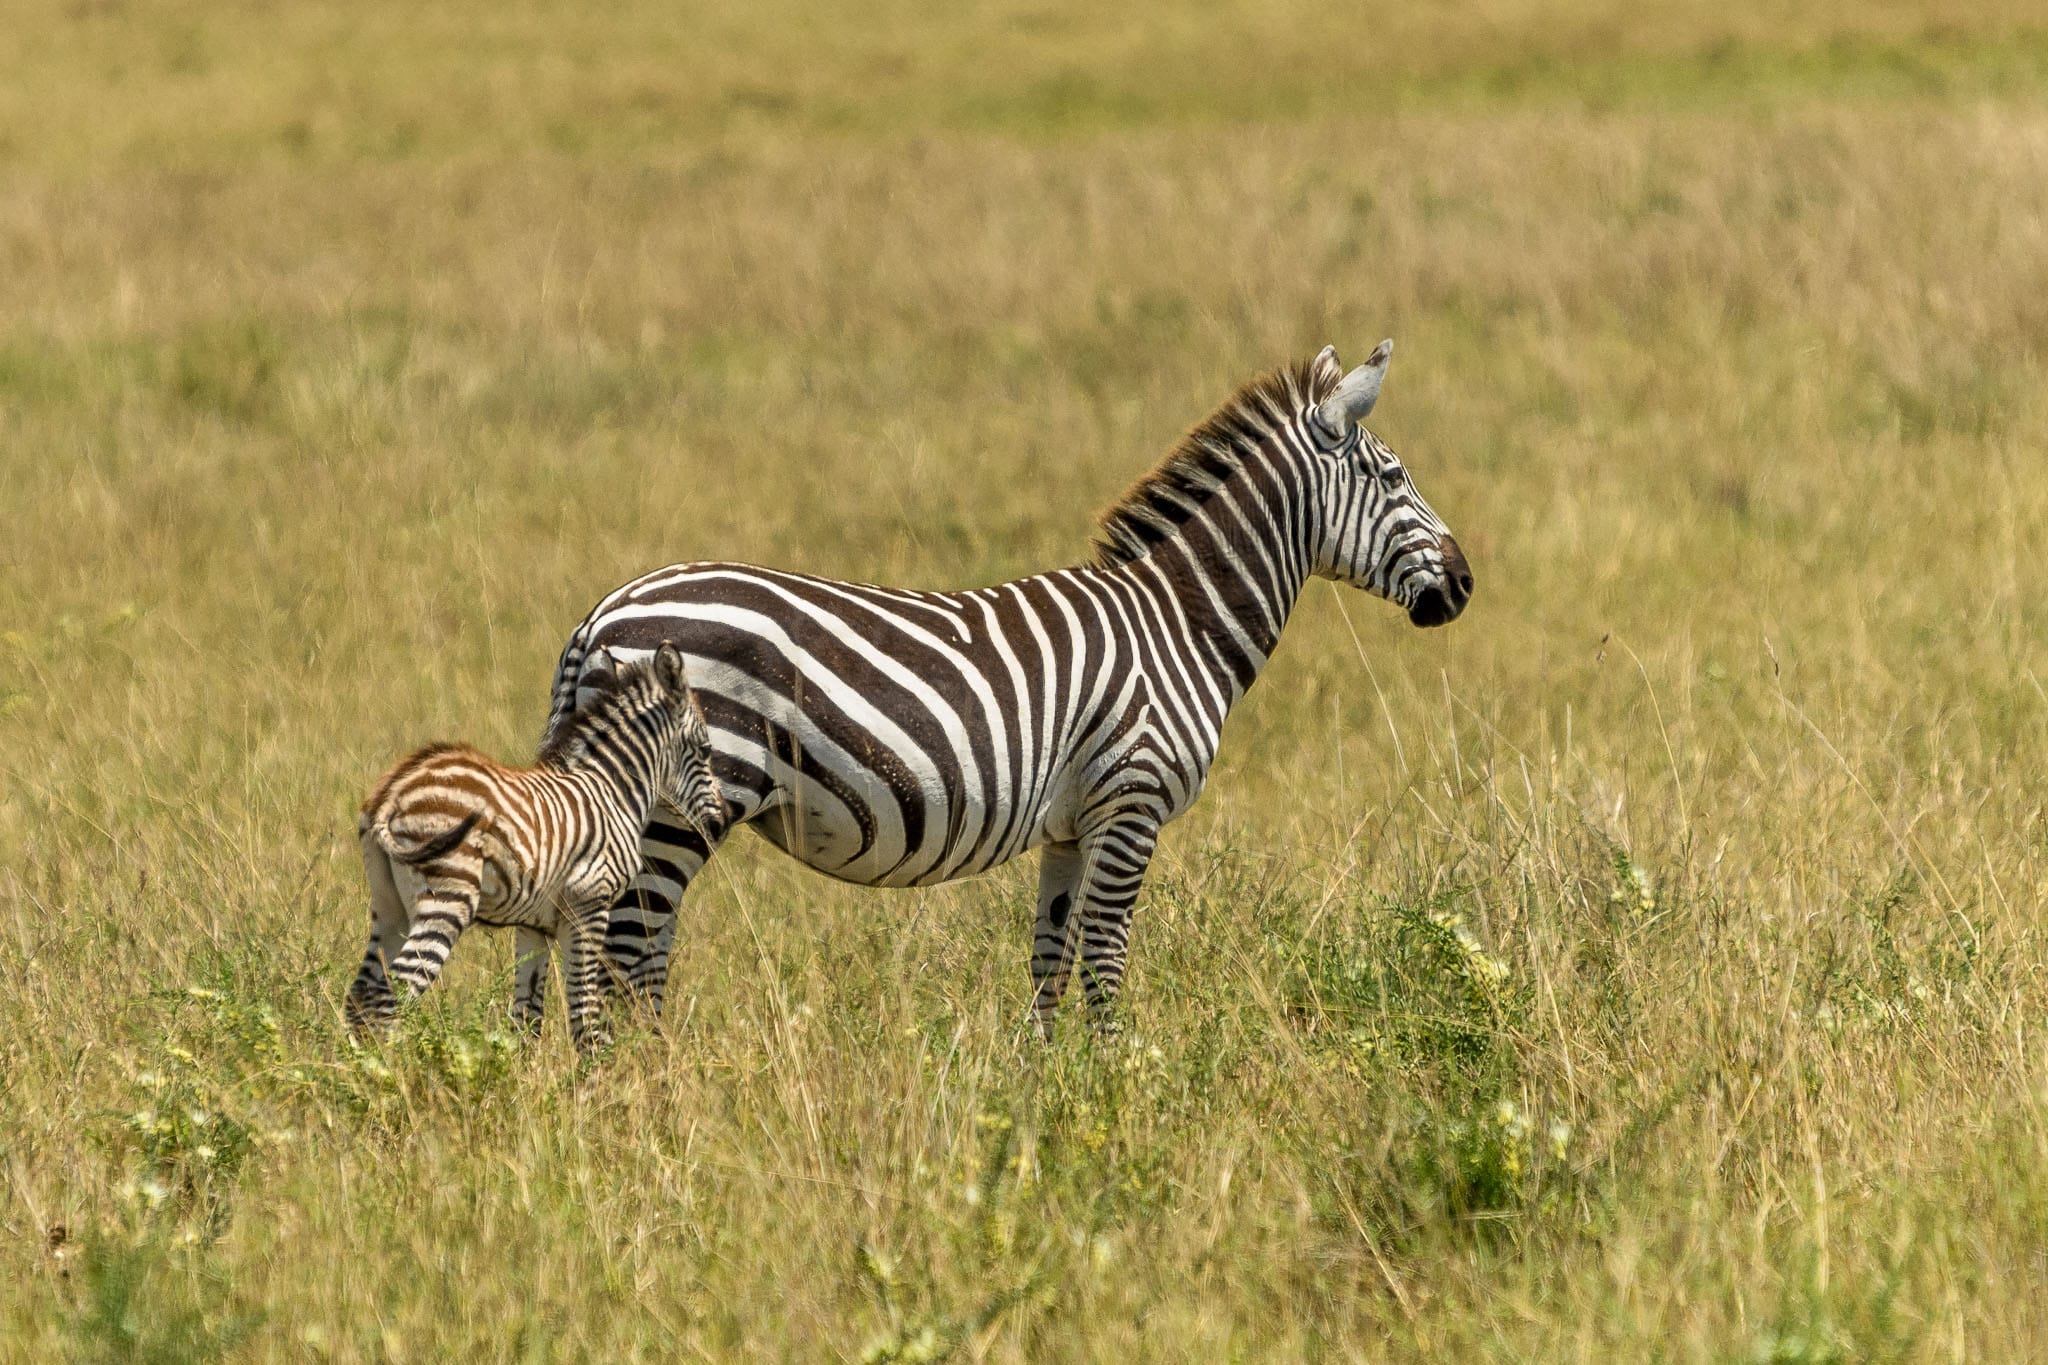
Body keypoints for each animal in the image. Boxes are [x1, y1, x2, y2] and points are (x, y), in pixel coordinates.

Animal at [348, 643, 728, 1053]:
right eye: (706, 749)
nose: (719, 823)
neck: (611, 790)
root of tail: (393, 791)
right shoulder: (589, 905)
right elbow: (584, 1013)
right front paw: (594, 1070)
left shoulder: (534, 925)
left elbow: (526, 1017)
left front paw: (519, 1070)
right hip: (446, 899)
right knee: (393, 997)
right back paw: (396, 1068)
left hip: (389, 906)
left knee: (361, 997)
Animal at [541, 340, 1471, 1036]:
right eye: (1394, 478)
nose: (1464, 584)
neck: (1178, 621)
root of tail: (602, 613)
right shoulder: (1131, 802)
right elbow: (1105, 956)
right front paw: (1117, 1082)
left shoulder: (1071, 823)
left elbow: (1050, 958)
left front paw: (1047, 1086)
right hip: (681, 807)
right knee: (630, 954)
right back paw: (652, 1086)